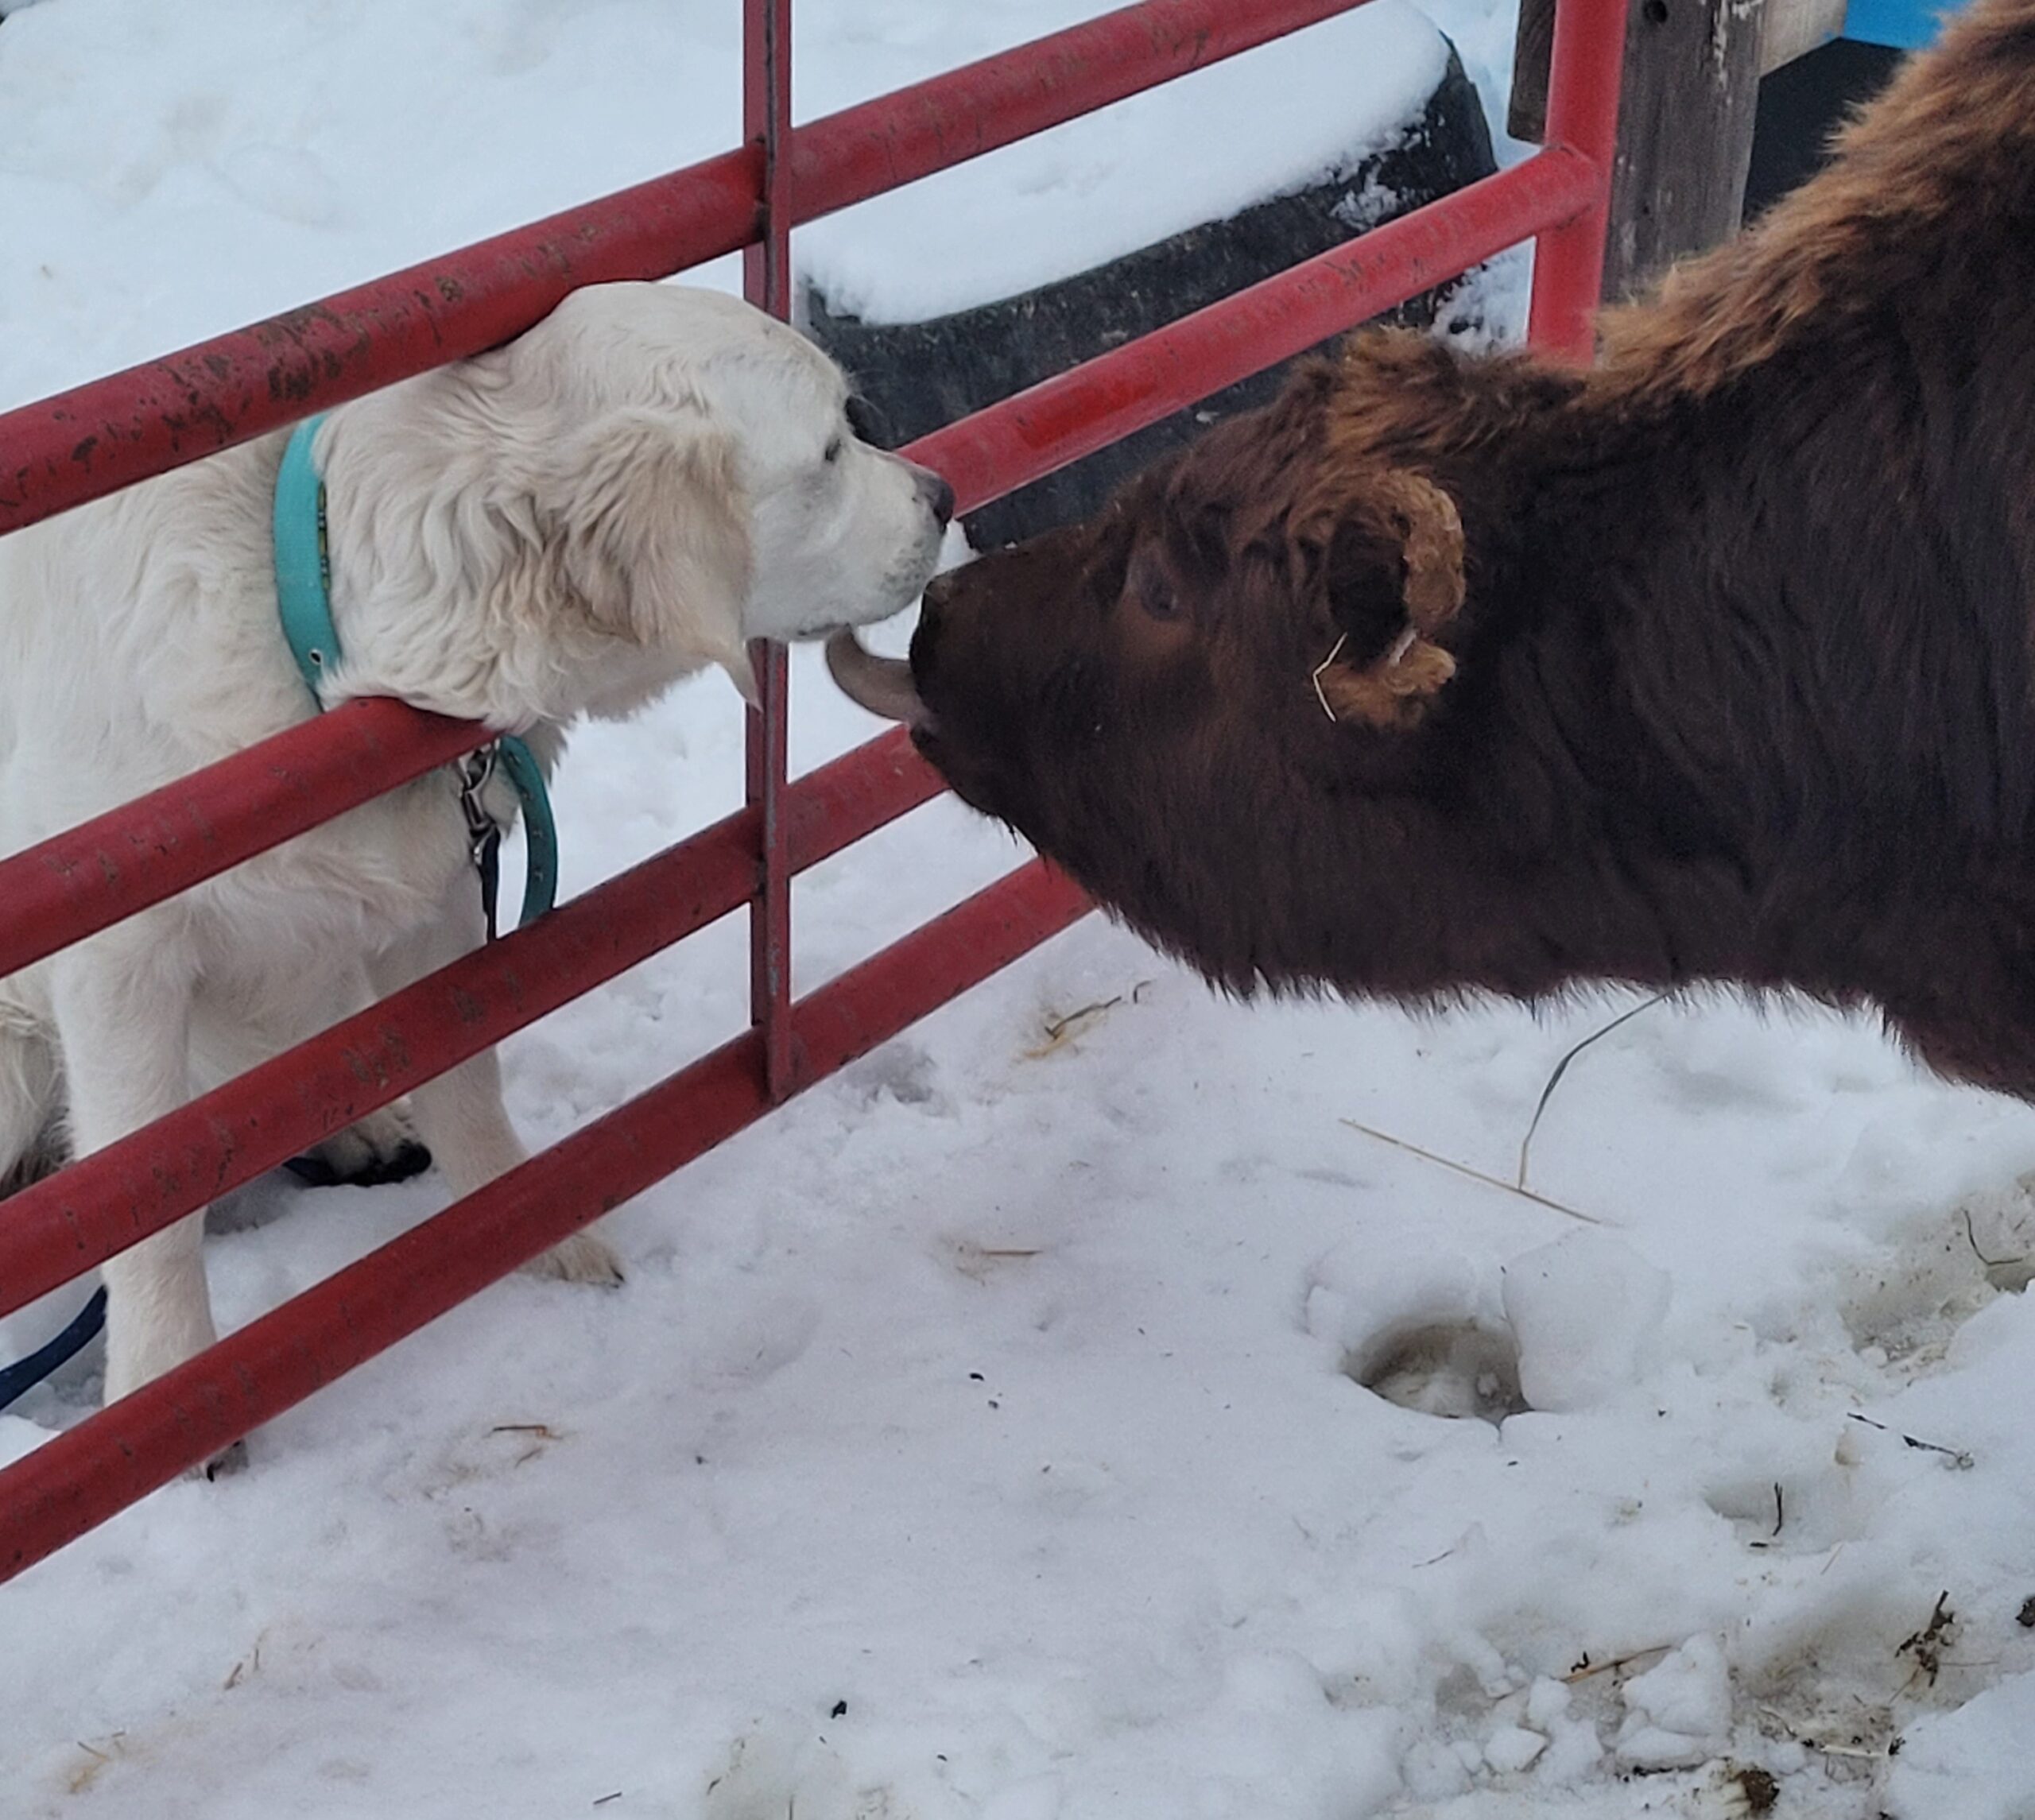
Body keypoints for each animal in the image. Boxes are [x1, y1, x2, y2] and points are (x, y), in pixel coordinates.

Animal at [0, 285, 952, 1415]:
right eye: (828, 454)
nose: (944, 494)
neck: (322, 644)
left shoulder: (442, 894)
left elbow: (463, 1081)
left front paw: (523, 1233)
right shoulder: (119, 960)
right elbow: (149, 1195)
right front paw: (169, 1383)